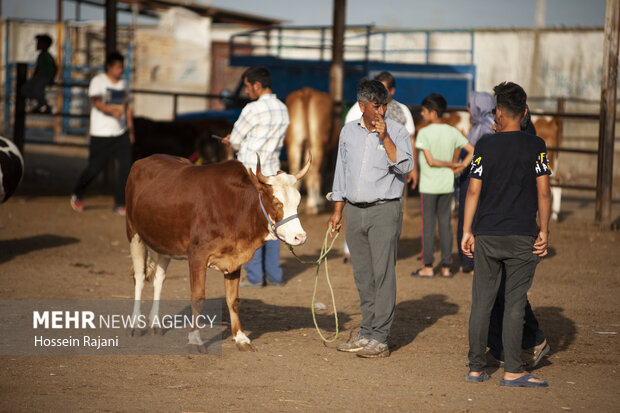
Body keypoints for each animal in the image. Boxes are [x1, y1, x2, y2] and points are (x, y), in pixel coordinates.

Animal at [125, 153, 310, 350]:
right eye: (276, 202)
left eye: (298, 201)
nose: (300, 237)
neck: (234, 208)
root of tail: (145, 159)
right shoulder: (197, 255)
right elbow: (198, 298)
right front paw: (195, 339)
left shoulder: (235, 257)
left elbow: (233, 300)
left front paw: (240, 337)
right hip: (134, 233)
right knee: (139, 277)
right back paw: (135, 325)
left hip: (163, 240)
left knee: (159, 279)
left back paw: (155, 324)